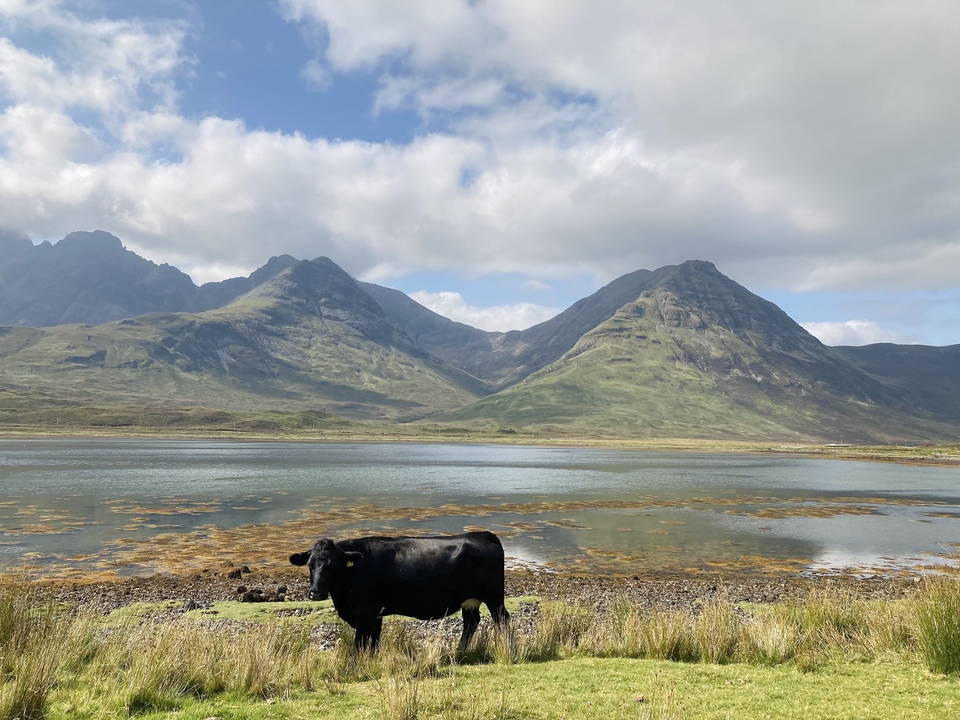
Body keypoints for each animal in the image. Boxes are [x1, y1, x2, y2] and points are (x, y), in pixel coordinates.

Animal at [289, 531, 510, 652]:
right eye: (310, 565)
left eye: (333, 566)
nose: (315, 593)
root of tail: (482, 534)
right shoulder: (375, 614)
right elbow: (373, 641)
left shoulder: (366, 610)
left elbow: (359, 642)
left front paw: (354, 668)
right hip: (470, 600)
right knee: (471, 622)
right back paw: (459, 651)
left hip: (494, 598)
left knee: (502, 619)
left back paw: (507, 649)